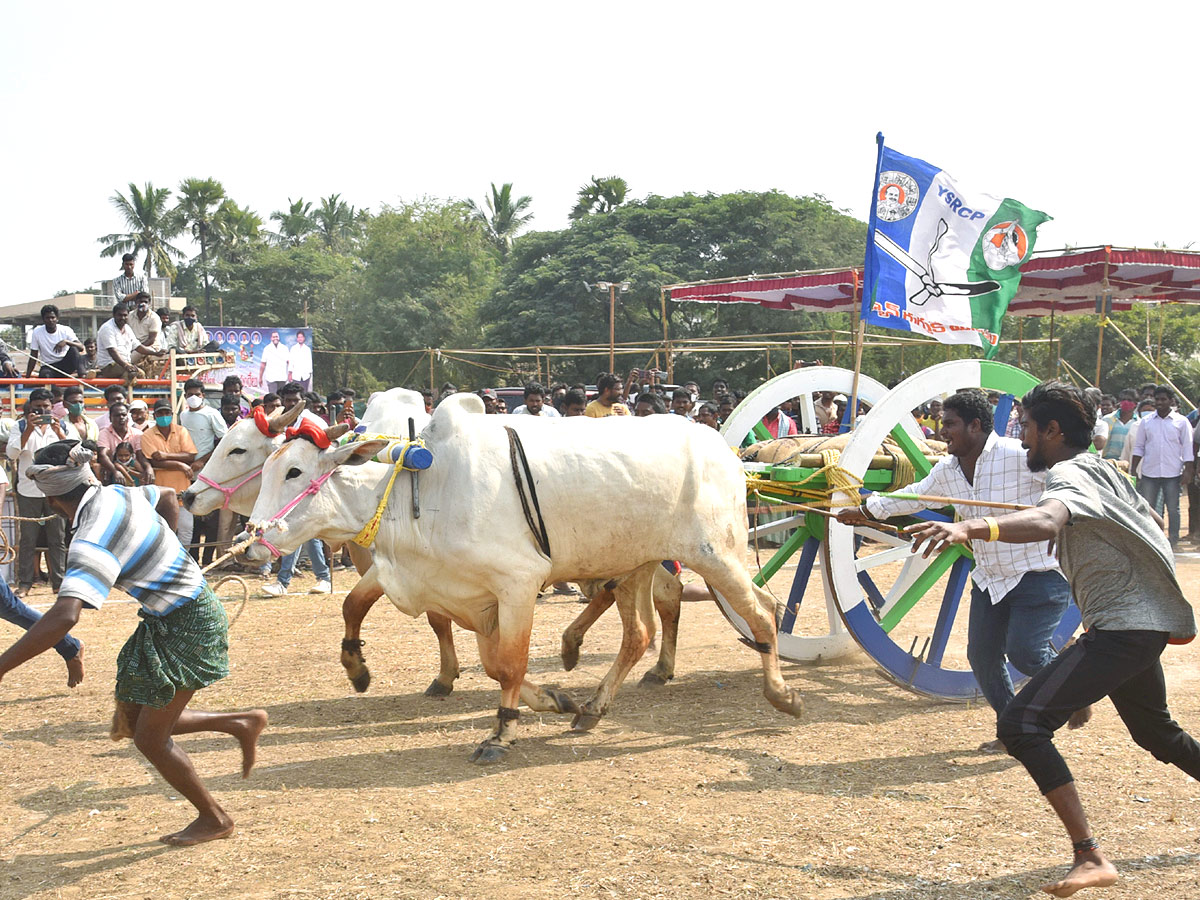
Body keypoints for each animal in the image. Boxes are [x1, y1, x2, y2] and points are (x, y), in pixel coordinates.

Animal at [242, 393, 801, 763]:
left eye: (294, 472)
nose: (252, 539)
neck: (420, 491)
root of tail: (723, 449)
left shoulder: (517, 584)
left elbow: (508, 665)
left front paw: (501, 733)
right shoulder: (472, 599)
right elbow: (489, 664)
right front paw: (554, 700)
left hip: (717, 554)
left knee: (763, 612)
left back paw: (782, 694)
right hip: (638, 563)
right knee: (642, 632)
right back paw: (592, 706)